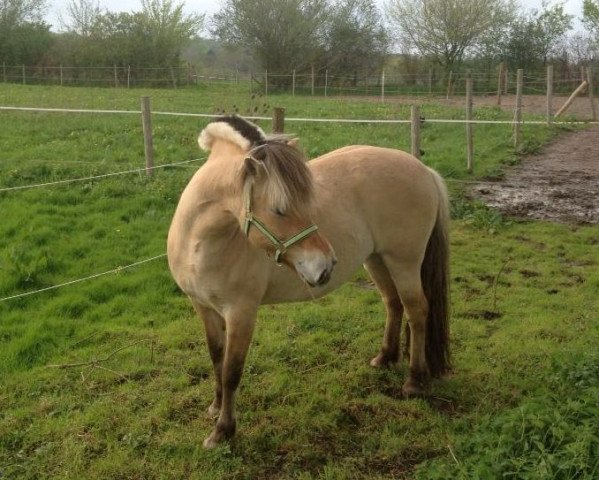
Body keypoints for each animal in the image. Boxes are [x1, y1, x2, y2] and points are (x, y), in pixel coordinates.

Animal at [165, 115, 450, 446]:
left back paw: (414, 381)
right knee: (393, 303)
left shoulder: (241, 314)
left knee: (417, 311)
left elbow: (232, 370)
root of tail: (424, 170)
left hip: (404, 263)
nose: (326, 265)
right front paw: (215, 407)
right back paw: (385, 358)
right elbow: (216, 359)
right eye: (279, 209)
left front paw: (223, 430)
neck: (200, 244)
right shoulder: (203, 308)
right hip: (377, 260)